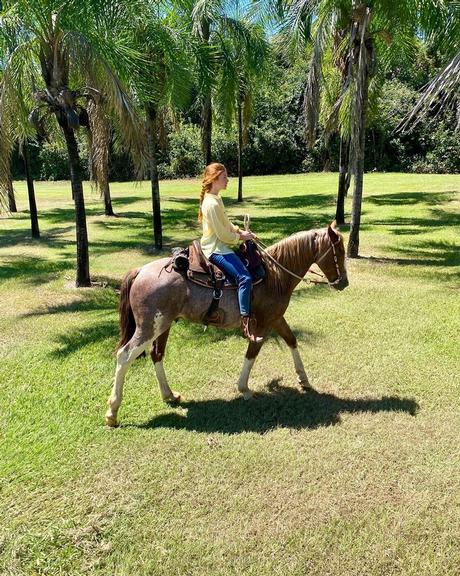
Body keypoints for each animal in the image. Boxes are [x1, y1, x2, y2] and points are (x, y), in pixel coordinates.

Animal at [105, 220, 348, 428]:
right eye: (339, 252)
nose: (343, 283)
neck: (276, 275)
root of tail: (140, 271)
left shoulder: (276, 318)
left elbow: (292, 340)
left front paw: (303, 378)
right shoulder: (262, 325)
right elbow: (252, 353)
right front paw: (245, 389)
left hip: (163, 325)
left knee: (157, 355)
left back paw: (169, 395)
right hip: (148, 327)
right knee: (125, 355)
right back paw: (112, 412)